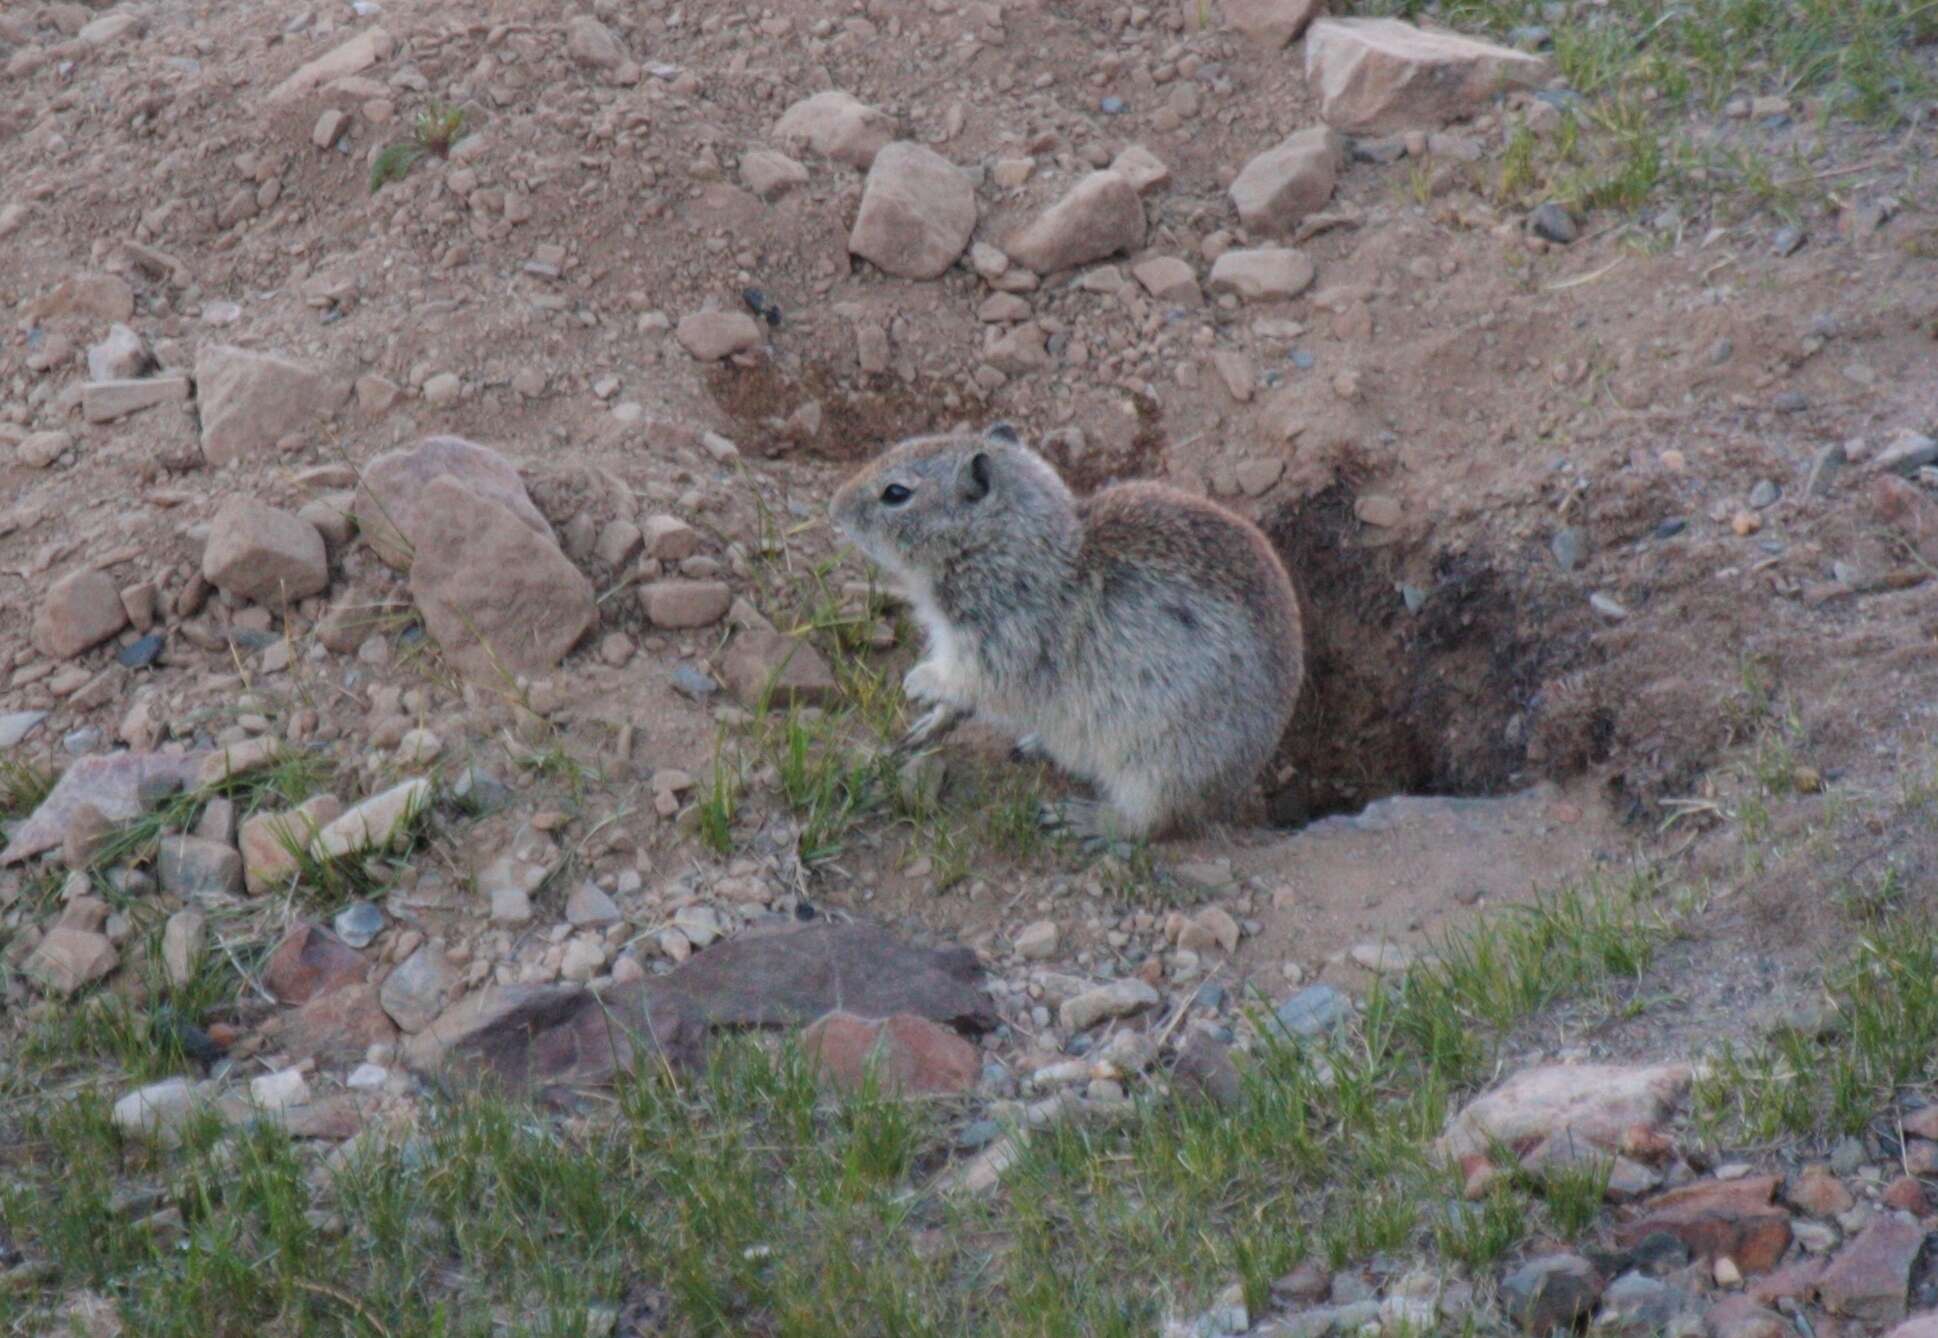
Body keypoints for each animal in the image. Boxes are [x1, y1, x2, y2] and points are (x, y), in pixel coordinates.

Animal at [833, 422, 1302, 833]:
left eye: (896, 493)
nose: (834, 508)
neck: (1005, 544)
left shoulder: (999, 647)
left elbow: (968, 681)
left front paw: (917, 682)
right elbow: (957, 701)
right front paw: (925, 726)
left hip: (1159, 766)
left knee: (1151, 822)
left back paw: (1082, 821)